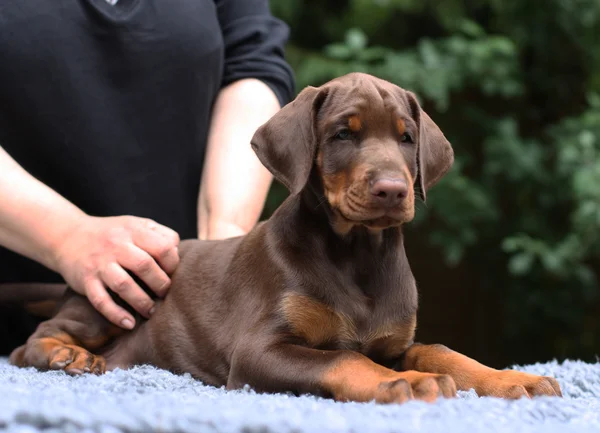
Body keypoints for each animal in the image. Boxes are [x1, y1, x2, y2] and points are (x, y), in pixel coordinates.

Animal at [9, 73, 564, 402]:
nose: (392, 189)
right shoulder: (260, 351)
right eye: (343, 133)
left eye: (407, 137)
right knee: (32, 341)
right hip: (110, 295)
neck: (356, 254)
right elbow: (344, 357)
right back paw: (64, 356)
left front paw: (513, 379)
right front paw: (403, 381)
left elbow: (442, 351)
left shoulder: (393, 339)